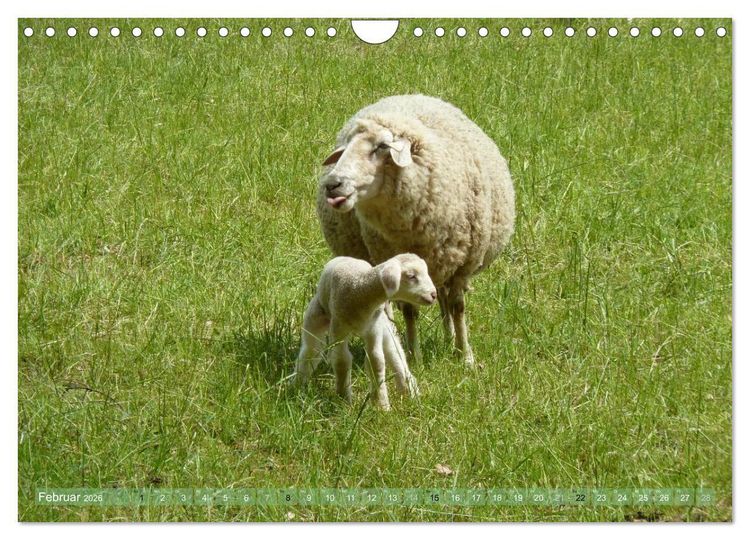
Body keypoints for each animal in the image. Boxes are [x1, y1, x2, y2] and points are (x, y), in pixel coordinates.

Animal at [293, 253, 437, 410]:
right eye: (411, 276)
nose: (434, 294)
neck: (360, 289)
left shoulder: (374, 328)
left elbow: (376, 361)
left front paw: (381, 404)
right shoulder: (339, 326)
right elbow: (341, 360)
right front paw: (344, 400)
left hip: (384, 326)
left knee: (394, 352)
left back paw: (408, 389)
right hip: (317, 315)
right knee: (310, 351)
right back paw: (297, 385)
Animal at [316, 94, 515, 365]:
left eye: (381, 146)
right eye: (345, 147)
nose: (332, 184)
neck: (409, 230)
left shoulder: (462, 266)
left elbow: (458, 307)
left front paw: (465, 356)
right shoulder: (398, 263)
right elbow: (410, 311)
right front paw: (414, 356)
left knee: (444, 300)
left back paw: (450, 339)